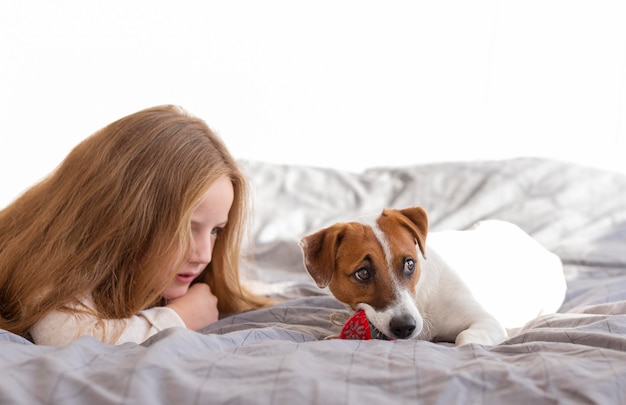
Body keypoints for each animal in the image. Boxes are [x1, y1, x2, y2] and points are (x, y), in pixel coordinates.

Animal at [298, 205, 564, 344]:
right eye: (363, 273)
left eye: (409, 264)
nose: (405, 327)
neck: (422, 300)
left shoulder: (487, 323)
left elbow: (465, 339)